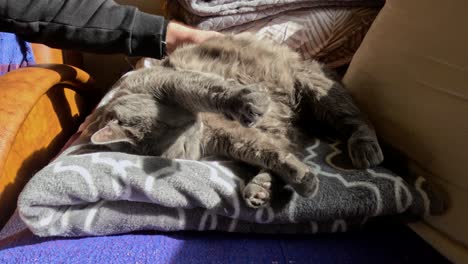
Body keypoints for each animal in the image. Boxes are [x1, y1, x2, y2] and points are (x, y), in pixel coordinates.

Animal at [81, 33, 384, 208]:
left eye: (170, 125)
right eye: (179, 149)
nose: (193, 129)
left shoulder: (174, 82)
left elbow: (211, 91)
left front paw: (249, 102)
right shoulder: (233, 138)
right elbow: (266, 152)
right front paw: (301, 177)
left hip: (319, 91)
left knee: (358, 118)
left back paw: (366, 150)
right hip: (284, 125)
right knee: (285, 147)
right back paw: (260, 189)